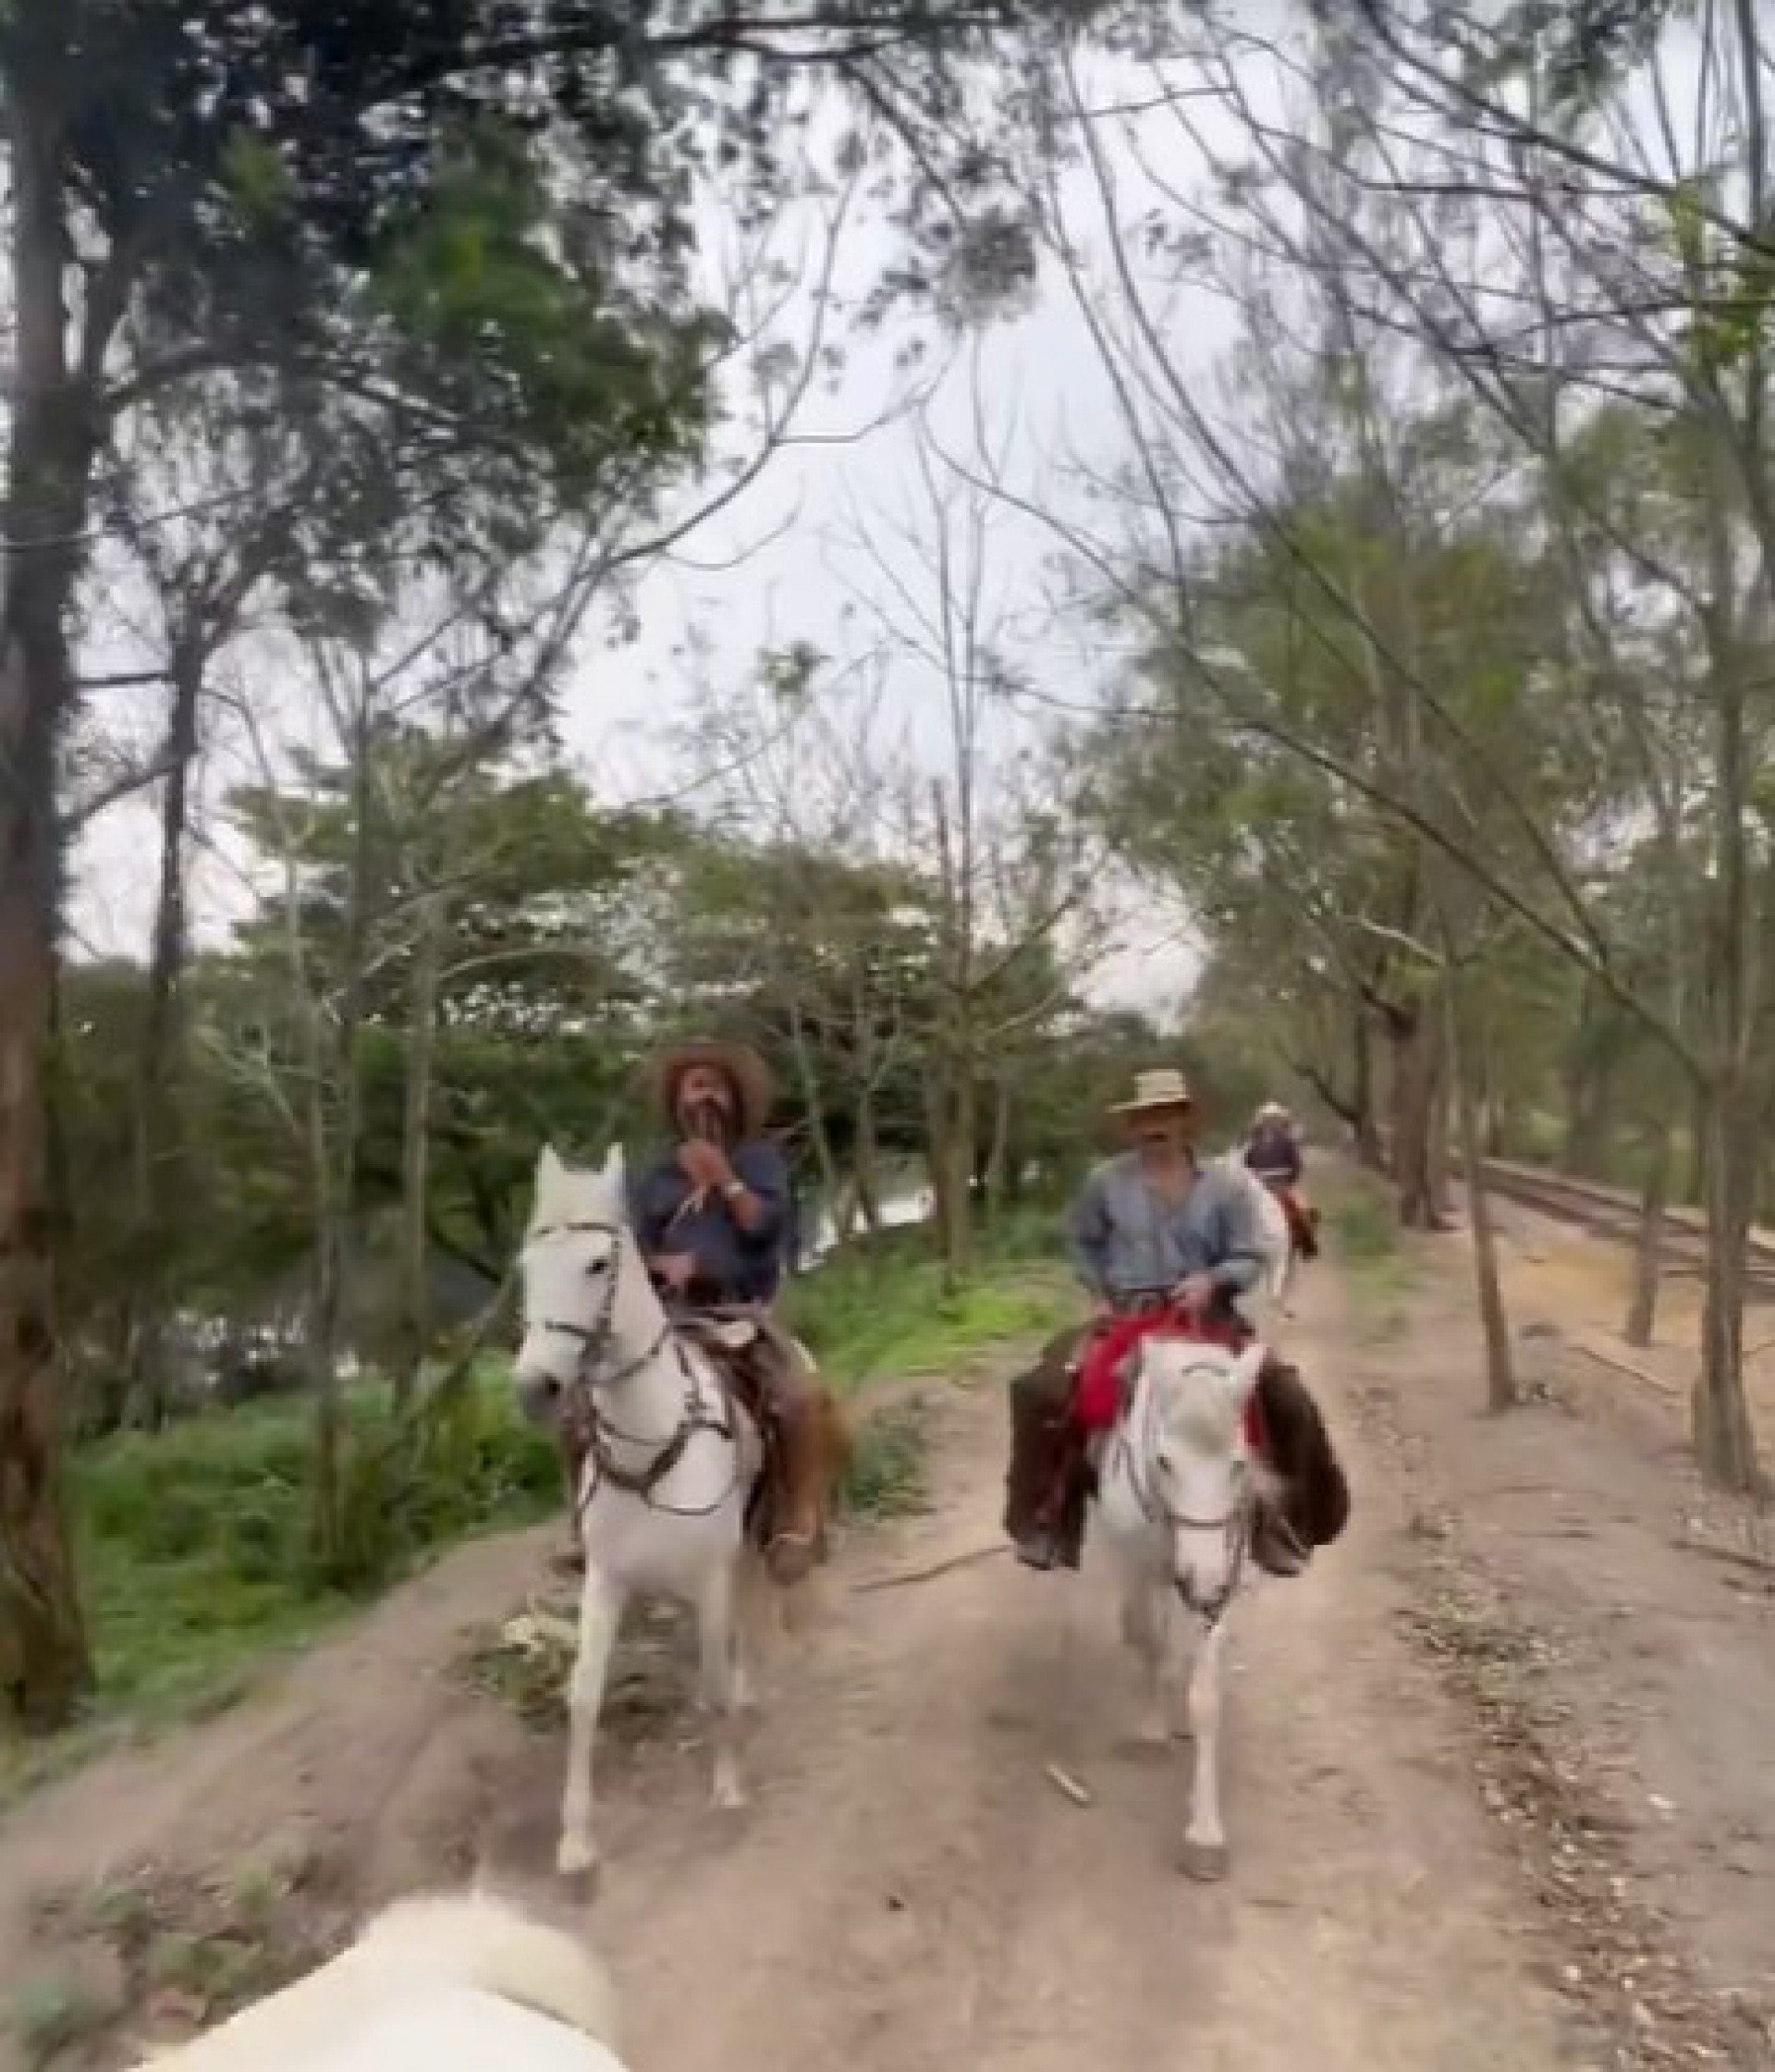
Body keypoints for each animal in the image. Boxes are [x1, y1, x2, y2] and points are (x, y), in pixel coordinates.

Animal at [511, 1151, 762, 1881]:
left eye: (598, 1263)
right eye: (527, 1265)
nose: (532, 1388)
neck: (652, 1445)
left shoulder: (710, 1574)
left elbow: (715, 1679)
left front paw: (727, 1786)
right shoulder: (606, 1580)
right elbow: (583, 1695)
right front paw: (575, 1840)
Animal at [1093, 1334, 1276, 1889]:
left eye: (1239, 1463)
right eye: (1164, 1461)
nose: (1203, 1580)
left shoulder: (1219, 1579)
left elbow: (1205, 1698)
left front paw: (1205, 1832)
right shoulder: (1137, 1565)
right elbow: (1146, 1638)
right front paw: (1154, 1729)